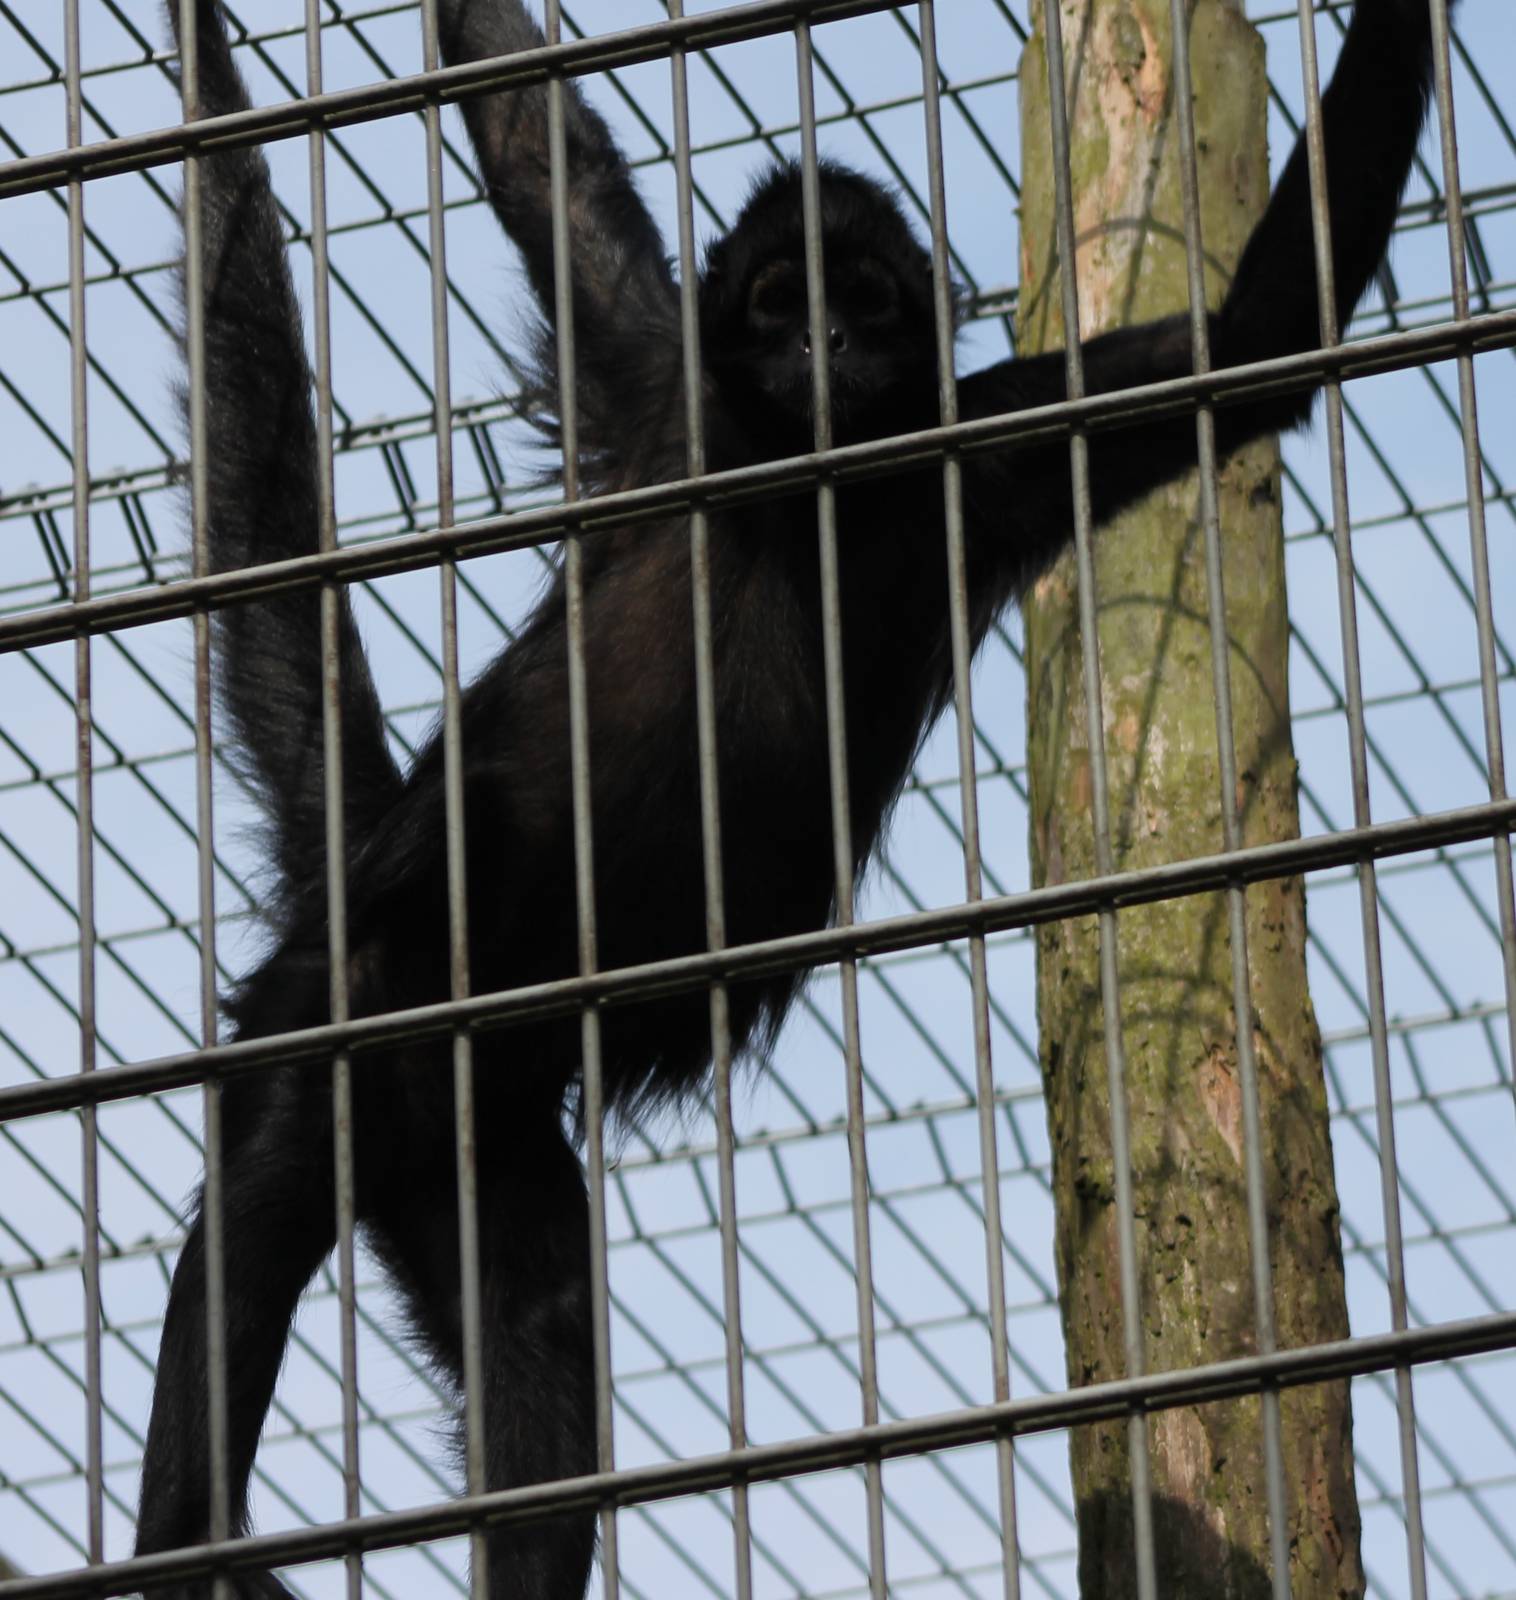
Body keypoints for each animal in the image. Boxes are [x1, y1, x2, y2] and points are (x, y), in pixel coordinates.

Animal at [136, 0, 1453, 1596]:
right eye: (777, 304)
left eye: (866, 305)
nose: (823, 342)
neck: (785, 485)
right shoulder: (666, 391)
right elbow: (531, 139)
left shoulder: (968, 447)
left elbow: (1254, 344)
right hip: (354, 988)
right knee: (265, 1197)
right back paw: (183, 1535)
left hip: (476, 1132)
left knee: (541, 1345)